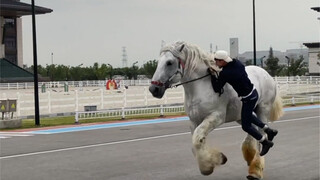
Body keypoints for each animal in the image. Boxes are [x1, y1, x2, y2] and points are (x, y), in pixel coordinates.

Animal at [149, 41, 284, 179]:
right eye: (159, 61)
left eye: (169, 62)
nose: (153, 89)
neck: (201, 85)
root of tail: (267, 74)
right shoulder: (194, 121)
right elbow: (196, 144)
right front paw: (214, 161)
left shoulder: (215, 117)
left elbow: (197, 140)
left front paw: (209, 165)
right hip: (242, 115)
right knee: (253, 131)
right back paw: (252, 156)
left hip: (263, 109)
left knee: (261, 134)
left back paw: (256, 169)